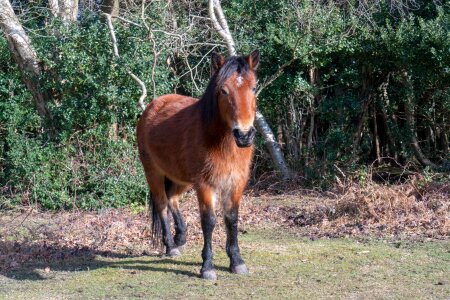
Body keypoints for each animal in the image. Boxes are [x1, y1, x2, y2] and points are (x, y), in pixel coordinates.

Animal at [135, 49, 258, 282]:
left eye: (254, 87)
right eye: (224, 91)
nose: (244, 134)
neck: (222, 142)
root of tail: (153, 106)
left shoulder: (236, 183)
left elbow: (232, 219)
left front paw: (236, 261)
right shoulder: (205, 185)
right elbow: (209, 221)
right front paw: (207, 267)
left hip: (179, 177)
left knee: (172, 199)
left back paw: (181, 236)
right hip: (153, 172)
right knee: (162, 204)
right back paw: (171, 246)